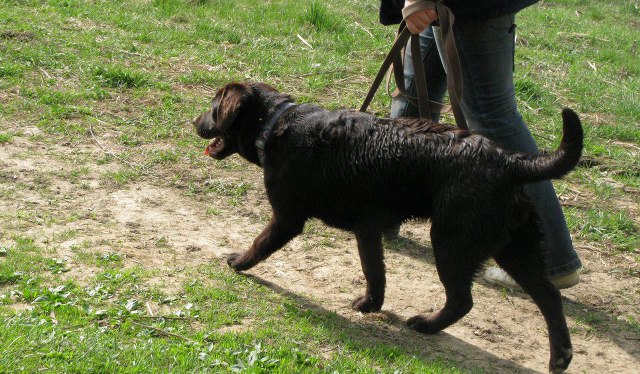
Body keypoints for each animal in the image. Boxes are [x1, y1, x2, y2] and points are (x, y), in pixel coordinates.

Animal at [192, 81, 584, 372]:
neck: (275, 125)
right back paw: (560, 357)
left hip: (452, 242)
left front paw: (239, 262)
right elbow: (374, 271)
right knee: (549, 297)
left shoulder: (287, 218)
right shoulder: (367, 229)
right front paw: (371, 304)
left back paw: (426, 324)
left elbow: (260, 244)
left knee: (463, 300)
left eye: (213, 107)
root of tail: (509, 160)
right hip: (515, 247)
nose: (194, 123)